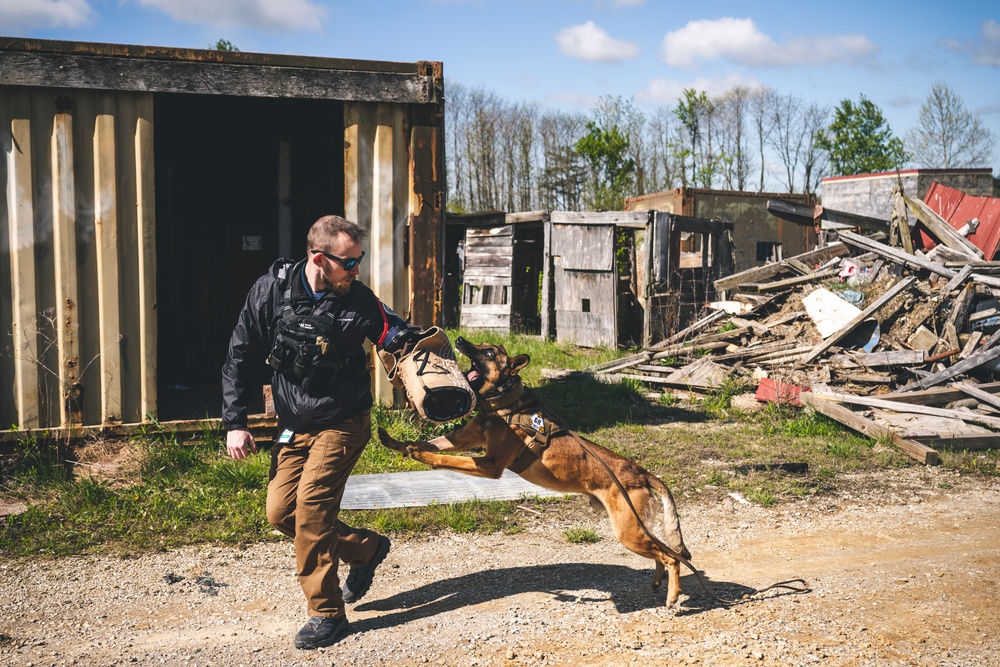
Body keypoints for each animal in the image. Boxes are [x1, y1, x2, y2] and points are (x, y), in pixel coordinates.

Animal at [378, 340, 692, 604]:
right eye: (480, 345)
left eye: (488, 352)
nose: (460, 340)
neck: (503, 404)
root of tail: (641, 472)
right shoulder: (464, 439)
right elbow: (426, 442)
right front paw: (396, 443)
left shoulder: (489, 464)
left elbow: (441, 457)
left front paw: (420, 455)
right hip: (636, 529)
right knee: (666, 552)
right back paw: (657, 582)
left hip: (628, 531)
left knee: (673, 558)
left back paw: (673, 596)